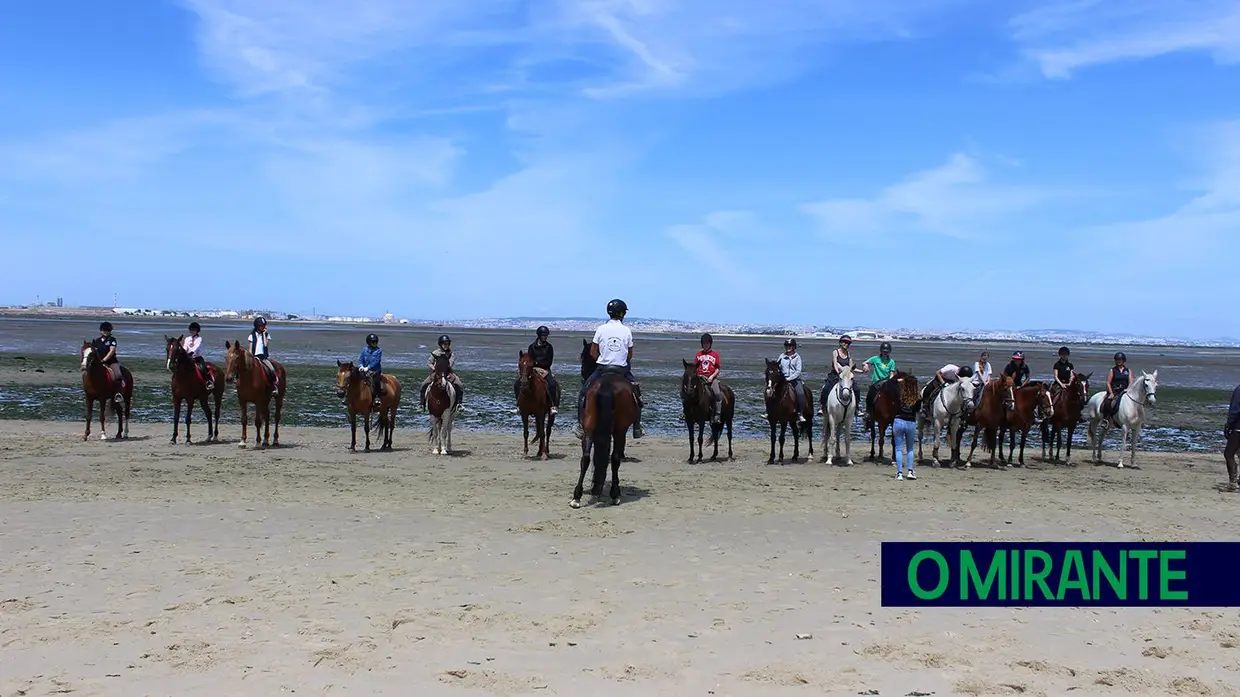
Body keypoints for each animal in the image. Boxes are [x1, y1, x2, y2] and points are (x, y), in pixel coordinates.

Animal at [572, 339, 639, 503]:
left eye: (582, 357)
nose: (583, 376)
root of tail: (607, 384)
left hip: (590, 427)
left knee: (586, 457)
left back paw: (577, 497)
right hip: (620, 430)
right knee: (615, 458)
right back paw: (615, 493)